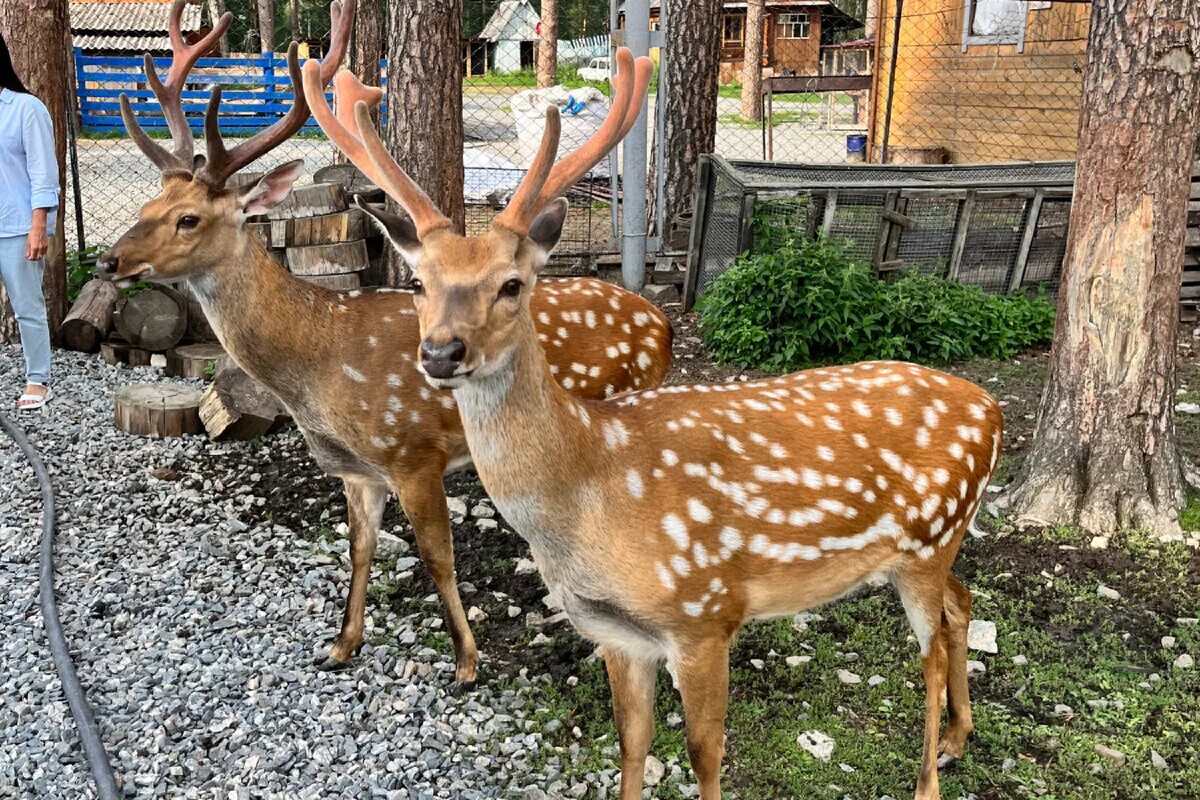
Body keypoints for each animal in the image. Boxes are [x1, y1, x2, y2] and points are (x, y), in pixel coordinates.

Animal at [93, 1, 676, 690]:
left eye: (189, 218)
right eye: (150, 203)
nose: (108, 261)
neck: (317, 371)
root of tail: (663, 323)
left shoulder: (413, 452)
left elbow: (437, 557)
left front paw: (467, 661)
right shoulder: (357, 470)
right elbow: (360, 548)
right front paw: (341, 645)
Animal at [319, 48, 1003, 800]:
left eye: (512, 284)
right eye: (418, 283)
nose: (441, 352)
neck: (590, 489)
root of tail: (992, 409)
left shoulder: (703, 614)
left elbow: (705, 754)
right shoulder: (618, 632)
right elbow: (632, 744)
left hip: (927, 542)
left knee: (931, 650)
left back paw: (930, 773)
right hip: (935, 548)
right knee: (963, 603)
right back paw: (960, 738)